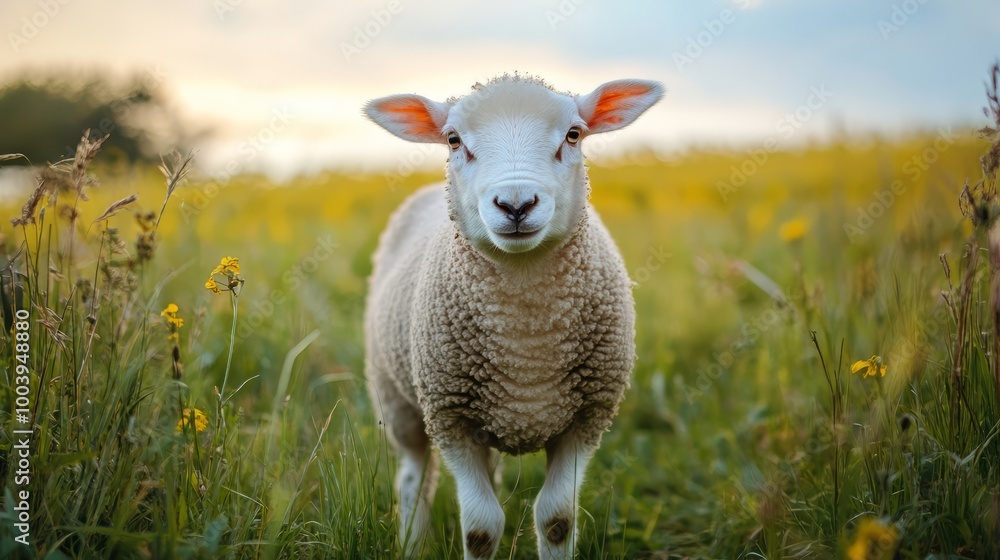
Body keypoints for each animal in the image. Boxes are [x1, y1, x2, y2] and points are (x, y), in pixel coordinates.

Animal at [363, 74, 663, 560]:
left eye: (574, 135)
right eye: (453, 139)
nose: (516, 204)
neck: (526, 341)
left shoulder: (587, 418)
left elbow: (557, 519)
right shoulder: (450, 415)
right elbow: (480, 529)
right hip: (397, 397)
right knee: (412, 478)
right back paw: (411, 541)